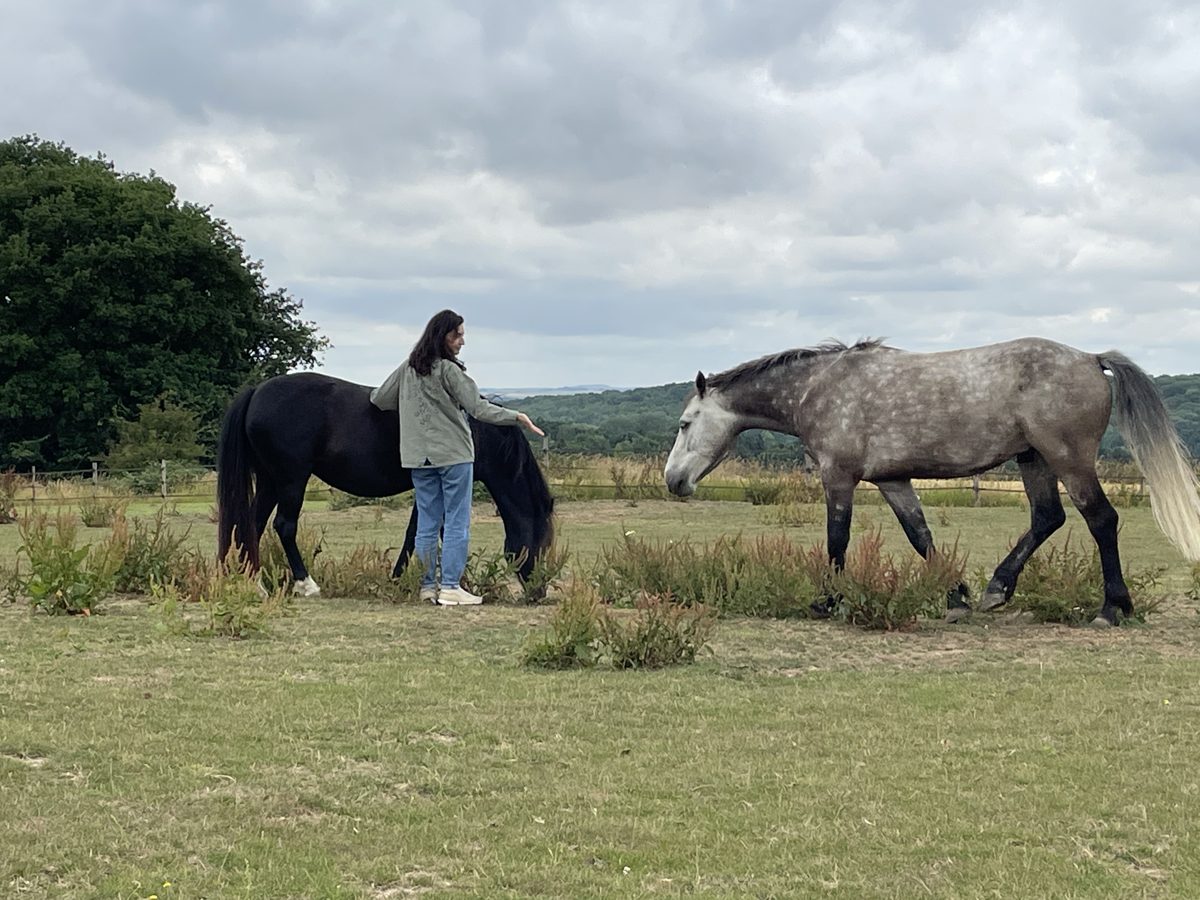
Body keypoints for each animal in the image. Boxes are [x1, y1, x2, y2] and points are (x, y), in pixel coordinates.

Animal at [216, 372, 555, 596]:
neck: (479, 434)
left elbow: (418, 532)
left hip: (270, 482)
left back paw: (253, 583)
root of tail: (256, 391)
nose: (539, 590)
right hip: (291, 480)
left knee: (251, 526)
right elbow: (429, 532)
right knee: (284, 527)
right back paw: (306, 584)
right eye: (541, 541)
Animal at [664, 337, 1200, 626]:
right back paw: (996, 590)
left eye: (685, 424)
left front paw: (826, 601)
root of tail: (1090, 358)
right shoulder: (893, 480)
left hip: (1068, 460)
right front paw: (955, 596)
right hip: (1033, 460)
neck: (820, 389)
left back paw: (1111, 607)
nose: (672, 481)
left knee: (1100, 519)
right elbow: (920, 536)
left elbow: (837, 540)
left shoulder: (839, 478)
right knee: (1048, 517)